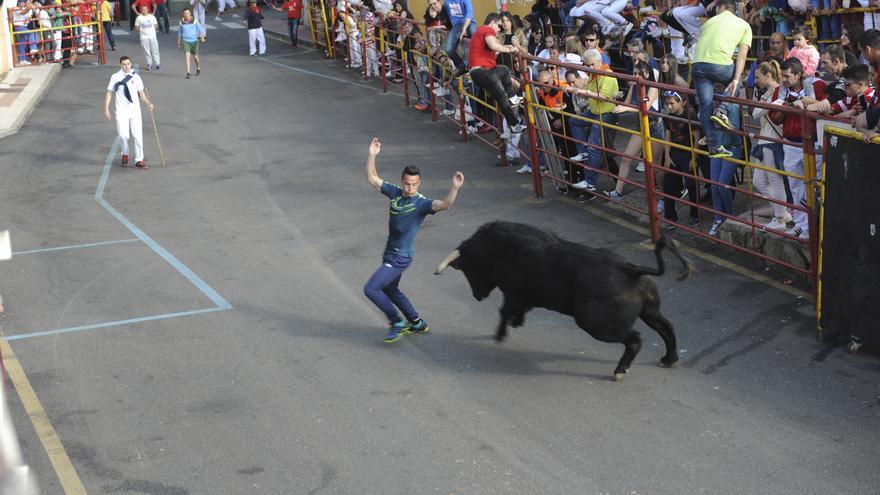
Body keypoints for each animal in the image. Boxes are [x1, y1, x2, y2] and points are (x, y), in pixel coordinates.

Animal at [434, 223, 696, 382]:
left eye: (469, 268)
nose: (477, 296)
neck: (497, 246)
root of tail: (630, 269)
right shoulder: (524, 297)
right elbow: (514, 312)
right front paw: (515, 324)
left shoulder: (514, 293)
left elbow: (504, 311)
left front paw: (500, 335)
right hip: (650, 311)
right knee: (666, 328)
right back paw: (668, 359)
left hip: (595, 324)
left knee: (635, 339)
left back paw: (620, 370)